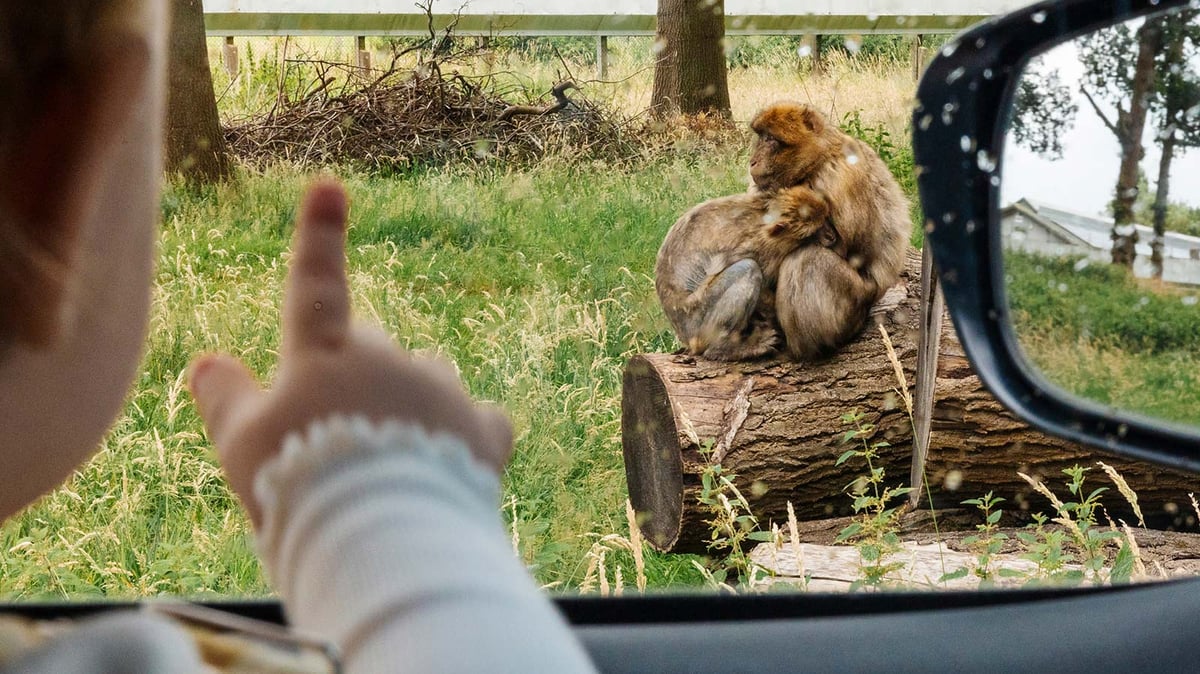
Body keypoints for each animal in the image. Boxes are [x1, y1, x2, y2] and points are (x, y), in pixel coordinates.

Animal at [655, 184, 836, 360]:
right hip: (698, 324)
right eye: (813, 232)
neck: (761, 218)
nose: (831, 236)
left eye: (825, 220)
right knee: (748, 268)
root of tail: (684, 335)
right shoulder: (756, 249)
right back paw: (723, 350)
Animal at [748, 101, 911, 360]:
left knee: (807, 260)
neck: (818, 161)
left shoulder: (839, 178)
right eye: (760, 137)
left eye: (770, 139)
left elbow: (847, 249)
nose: (752, 161)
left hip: (854, 302)